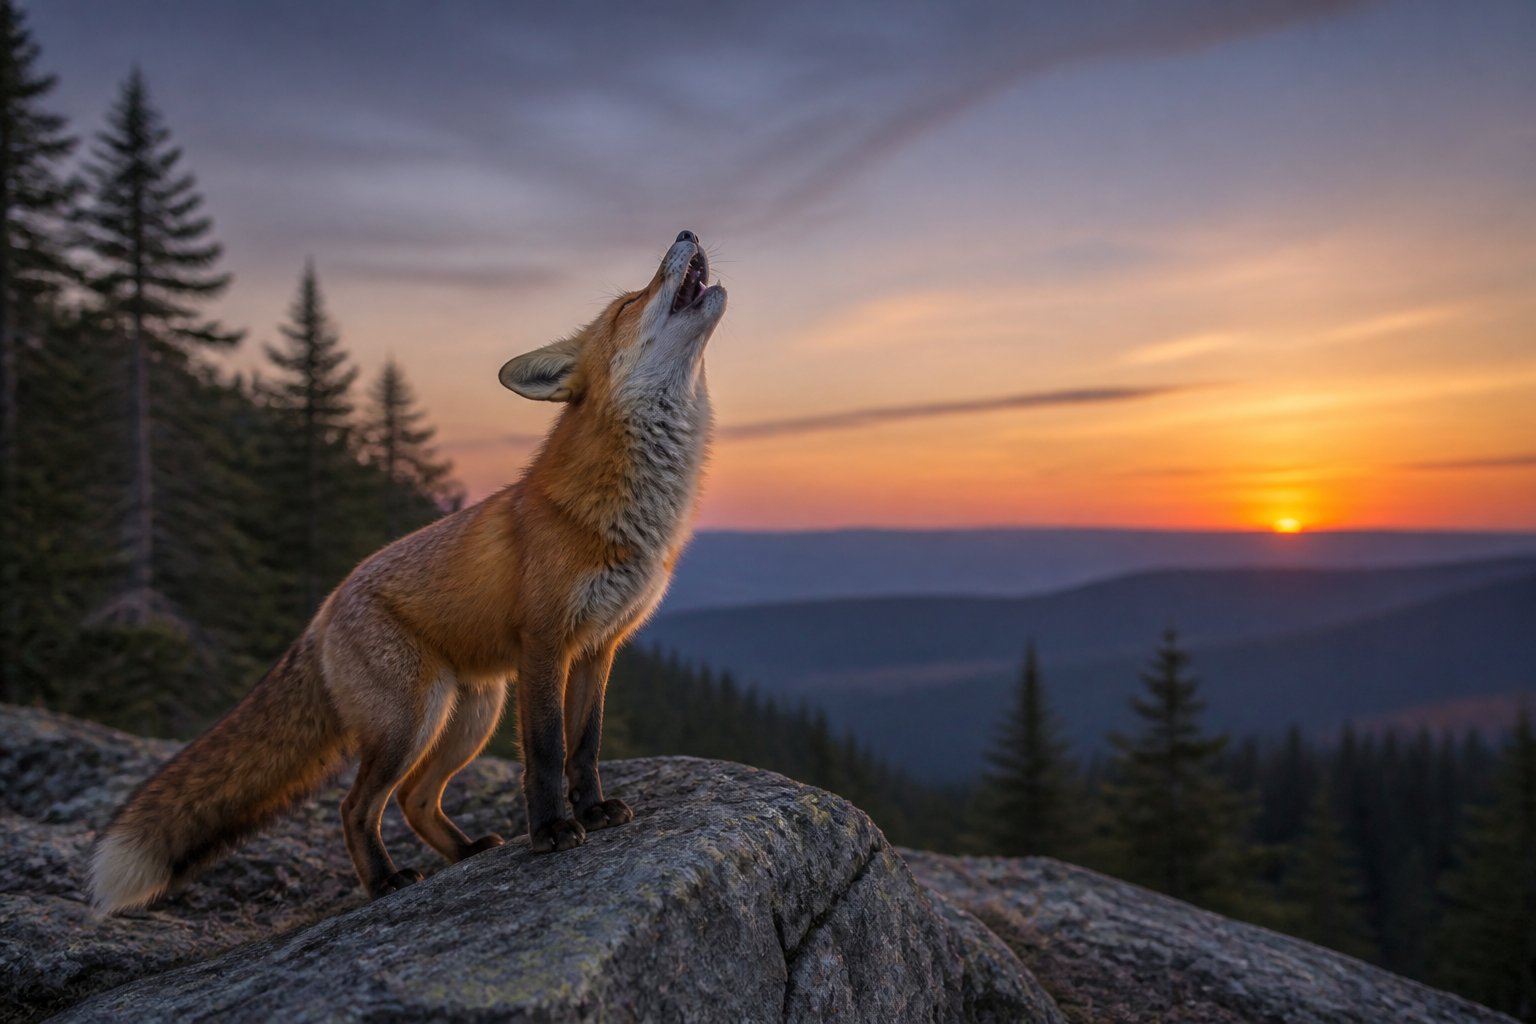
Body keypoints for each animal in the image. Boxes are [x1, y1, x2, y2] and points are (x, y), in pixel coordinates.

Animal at [91, 230, 727, 913]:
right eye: (628, 304)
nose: (686, 233)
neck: (631, 514)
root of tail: (325, 608)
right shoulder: (546, 641)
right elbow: (547, 753)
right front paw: (553, 830)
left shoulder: (599, 647)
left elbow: (585, 747)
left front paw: (594, 812)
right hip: (411, 719)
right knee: (355, 806)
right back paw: (385, 881)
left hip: (470, 714)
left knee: (413, 797)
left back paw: (466, 851)